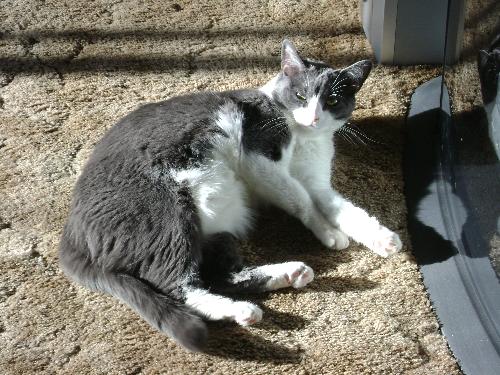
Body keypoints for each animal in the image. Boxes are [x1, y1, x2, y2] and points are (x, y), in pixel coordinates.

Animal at [58, 40, 402, 352]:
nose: (313, 118)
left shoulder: (317, 182)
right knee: (178, 285)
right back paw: (241, 309)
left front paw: (382, 239)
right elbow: (301, 200)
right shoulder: (259, 157)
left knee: (221, 275)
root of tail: (71, 235)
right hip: (168, 216)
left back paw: (289, 273)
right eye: (301, 96)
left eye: (331, 99)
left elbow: (345, 209)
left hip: (214, 231)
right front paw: (329, 233)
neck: (302, 138)